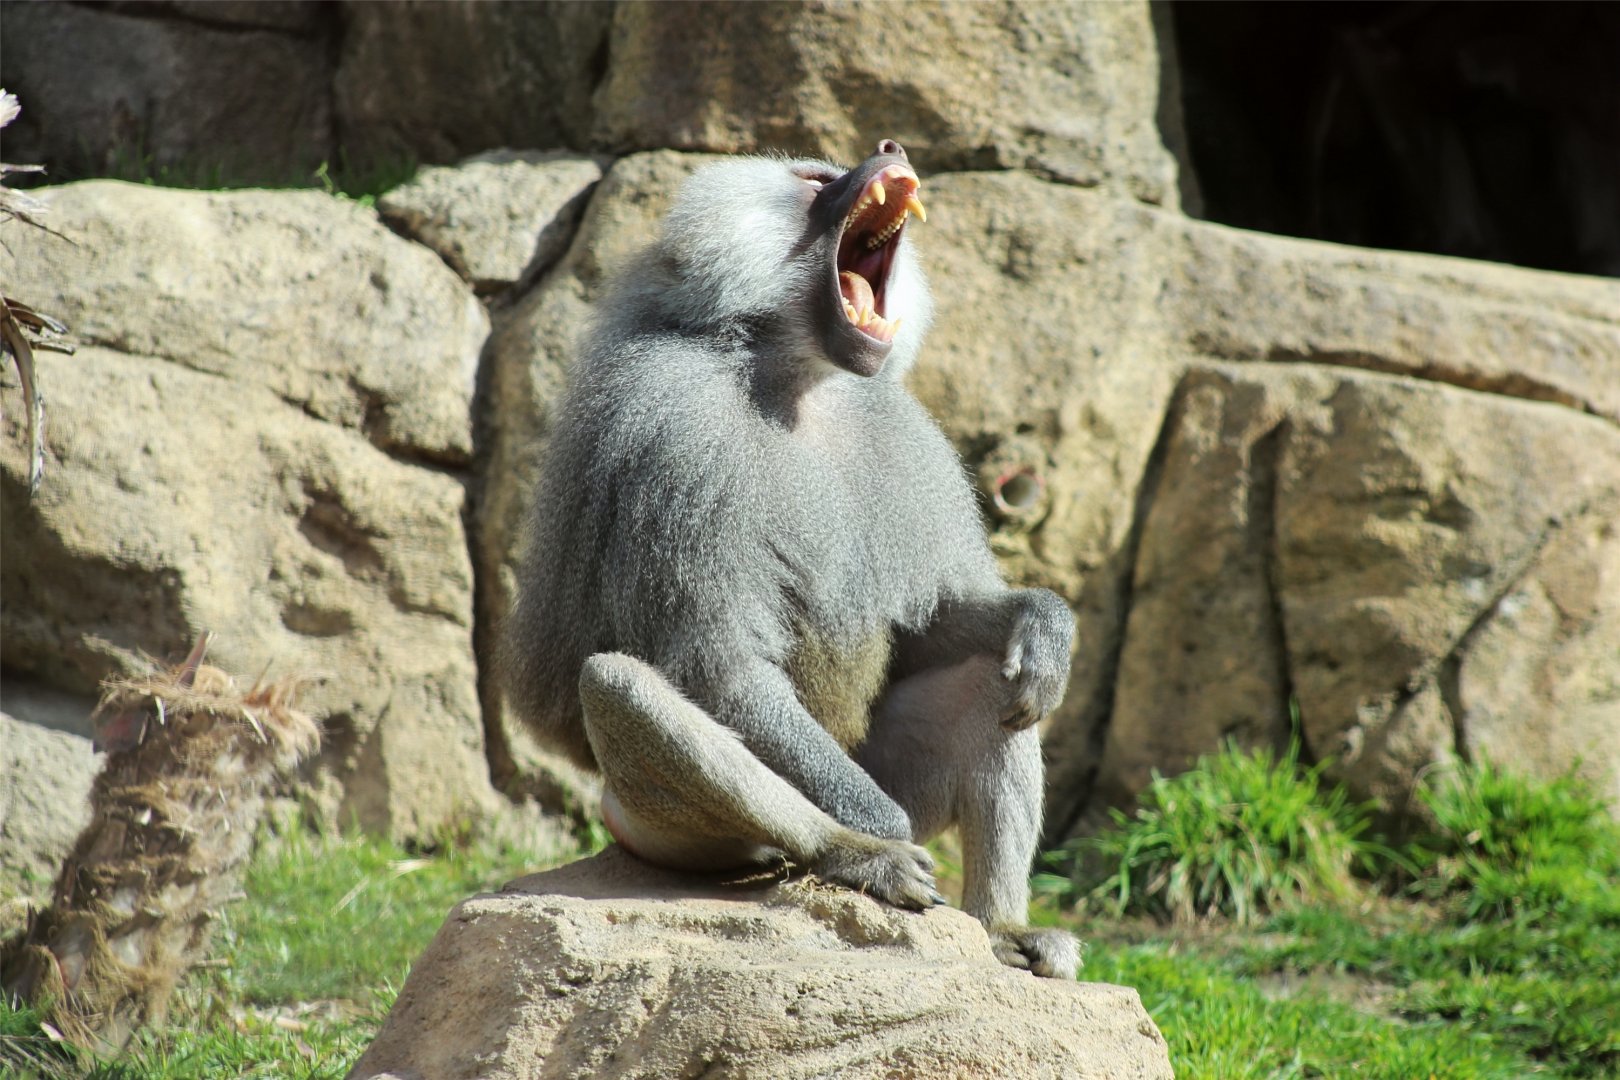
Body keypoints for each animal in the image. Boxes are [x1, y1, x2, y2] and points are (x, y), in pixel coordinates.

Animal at [498, 139, 1080, 979]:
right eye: (813, 182)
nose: (890, 149)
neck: (796, 377)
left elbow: (926, 633)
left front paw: (1045, 620)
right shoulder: (679, 435)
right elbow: (724, 668)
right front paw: (880, 828)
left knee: (1000, 684)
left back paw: (1001, 932)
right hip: (663, 826)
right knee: (619, 686)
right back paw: (858, 855)